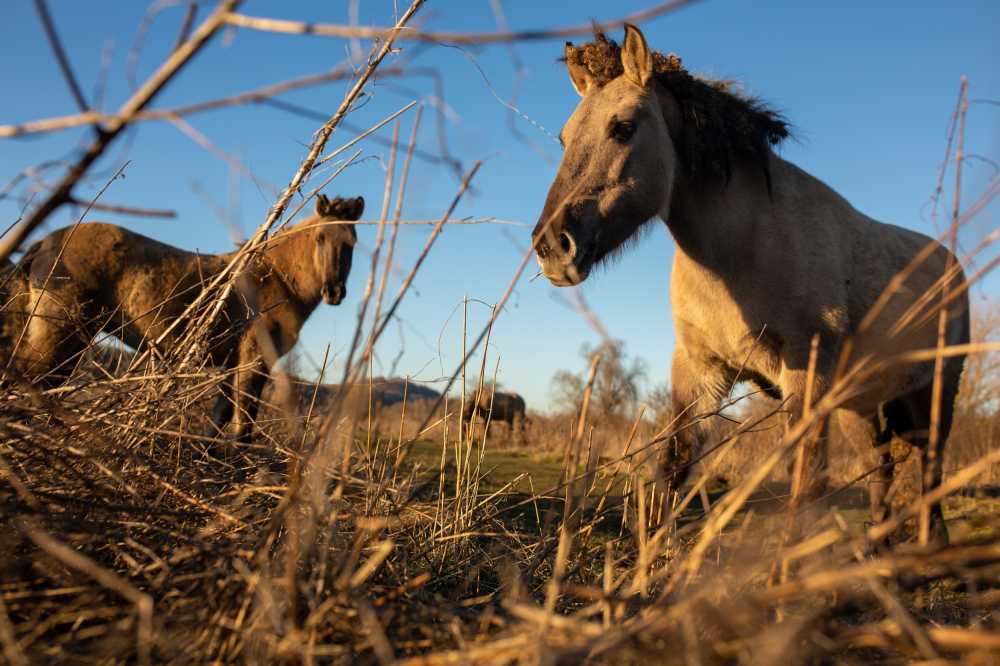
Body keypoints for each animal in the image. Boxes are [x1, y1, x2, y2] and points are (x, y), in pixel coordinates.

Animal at [13, 194, 363, 443]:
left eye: (351, 242)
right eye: (320, 238)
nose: (334, 291)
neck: (274, 277)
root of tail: (43, 244)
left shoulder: (232, 367)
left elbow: (218, 423)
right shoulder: (253, 362)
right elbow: (243, 427)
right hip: (60, 333)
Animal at [531, 25, 968, 543]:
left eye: (622, 127)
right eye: (564, 137)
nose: (552, 246)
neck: (745, 246)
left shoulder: (807, 367)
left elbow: (805, 478)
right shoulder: (700, 368)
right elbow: (674, 465)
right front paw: (655, 554)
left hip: (935, 389)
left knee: (930, 468)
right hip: (858, 404)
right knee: (880, 465)